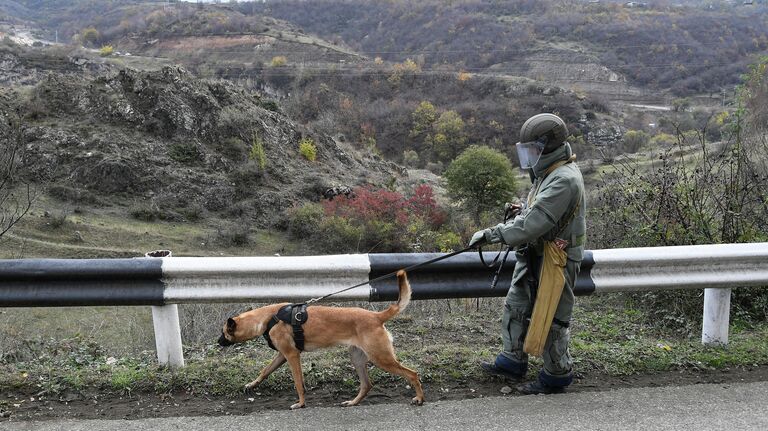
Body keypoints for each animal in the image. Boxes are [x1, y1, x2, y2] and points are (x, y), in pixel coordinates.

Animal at [218, 272, 426, 410]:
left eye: (223, 332)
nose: (218, 342)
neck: (268, 318)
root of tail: (376, 316)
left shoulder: (292, 356)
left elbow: (299, 383)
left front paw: (301, 403)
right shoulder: (282, 356)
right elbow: (264, 371)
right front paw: (252, 385)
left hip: (381, 358)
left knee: (413, 374)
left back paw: (419, 398)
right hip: (358, 358)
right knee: (367, 385)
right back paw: (352, 402)